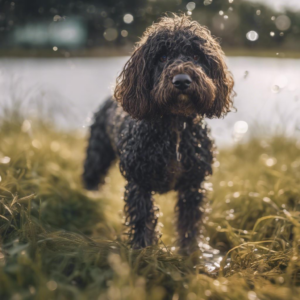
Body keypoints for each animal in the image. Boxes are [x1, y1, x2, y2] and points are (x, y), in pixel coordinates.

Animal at [82, 14, 234, 253]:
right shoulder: (139, 183)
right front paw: (144, 252)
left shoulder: (193, 185)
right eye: (162, 57)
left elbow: (190, 225)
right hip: (97, 155)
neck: (175, 128)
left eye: (196, 56)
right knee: (91, 177)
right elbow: (143, 222)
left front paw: (190, 254)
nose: (182, 80)